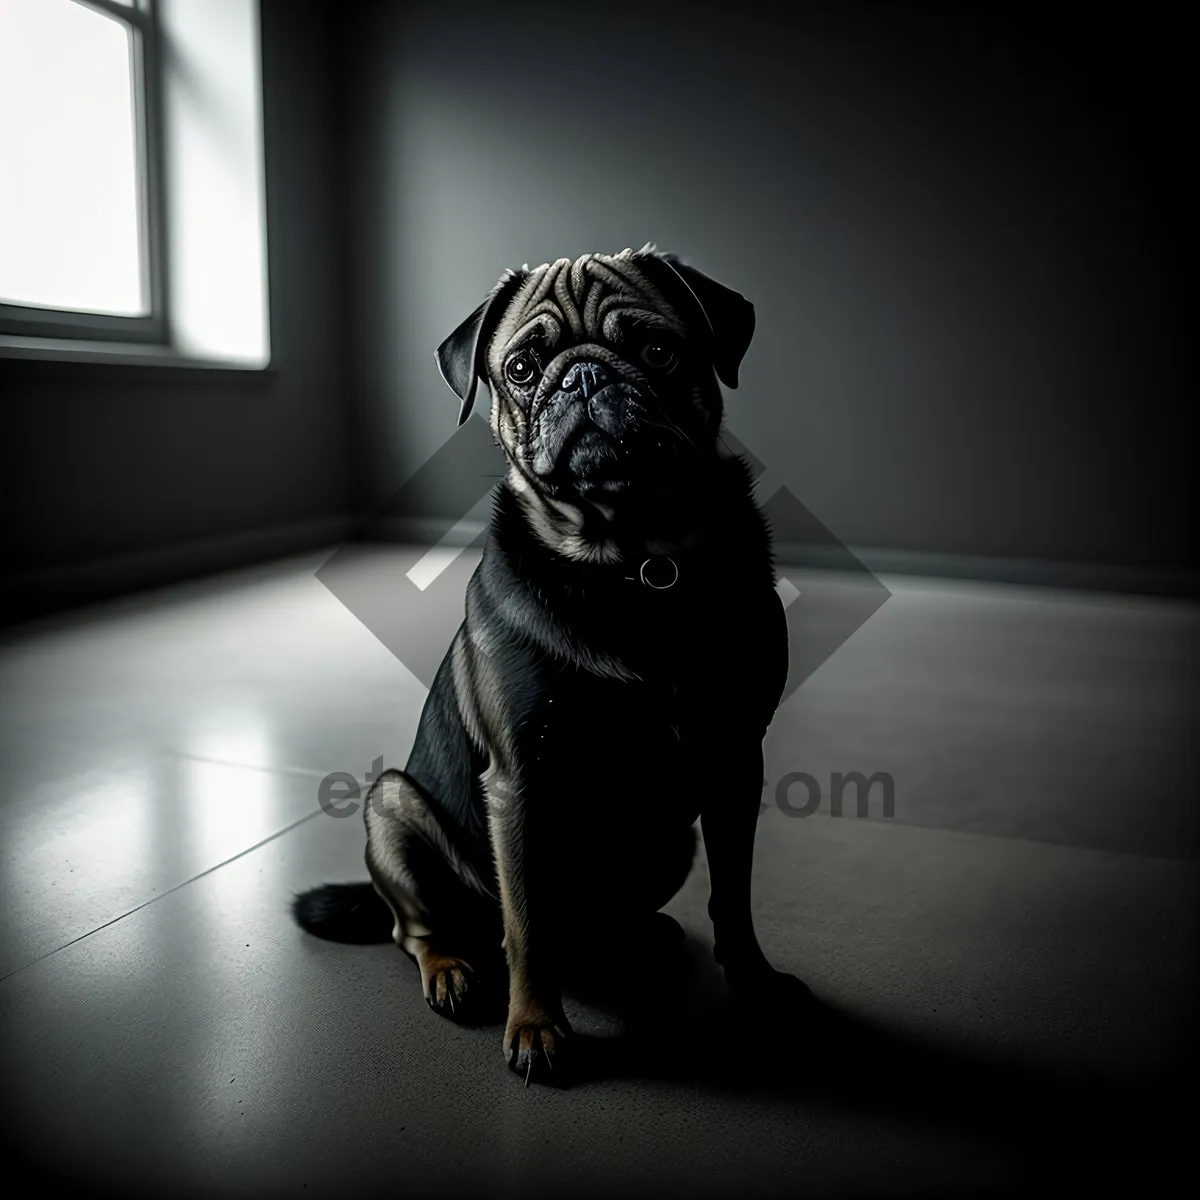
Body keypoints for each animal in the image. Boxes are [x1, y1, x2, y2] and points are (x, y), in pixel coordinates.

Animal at [295, 246, 811, 1089]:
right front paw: (537, 1028)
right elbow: (529, 926)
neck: (633, 564)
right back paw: (453, 969)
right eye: (521, 367)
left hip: (670, 843)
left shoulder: (735, 761)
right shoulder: (523, 783)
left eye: (658, 351)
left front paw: (756, 986)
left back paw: (637, 938)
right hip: (394, 806)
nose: (583, 376)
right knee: (424, 928)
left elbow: (734, 897)